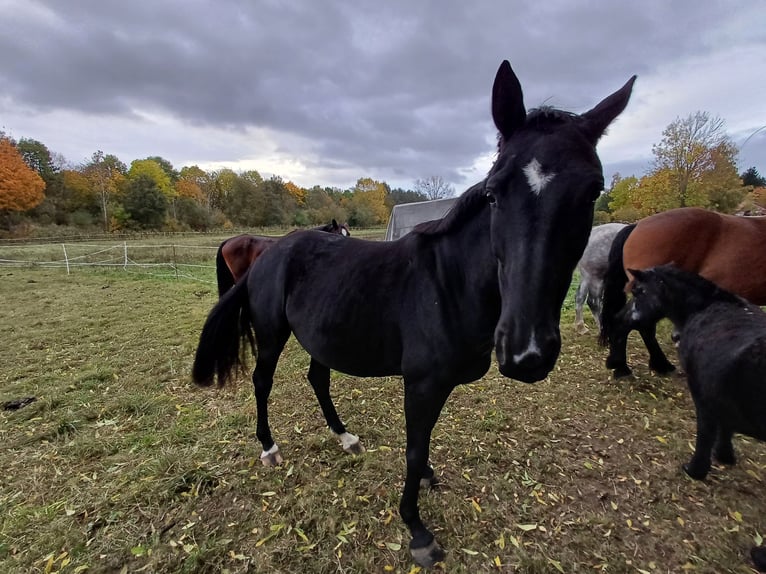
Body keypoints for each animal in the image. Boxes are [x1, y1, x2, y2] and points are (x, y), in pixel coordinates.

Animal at [628, 266, 766, 574]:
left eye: (640, 291)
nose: (632, 318)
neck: (705, 306)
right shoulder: (717, 390)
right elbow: (724, 426)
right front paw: (724, 455)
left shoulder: (702, 391)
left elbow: (705, 431)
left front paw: (696, 469)